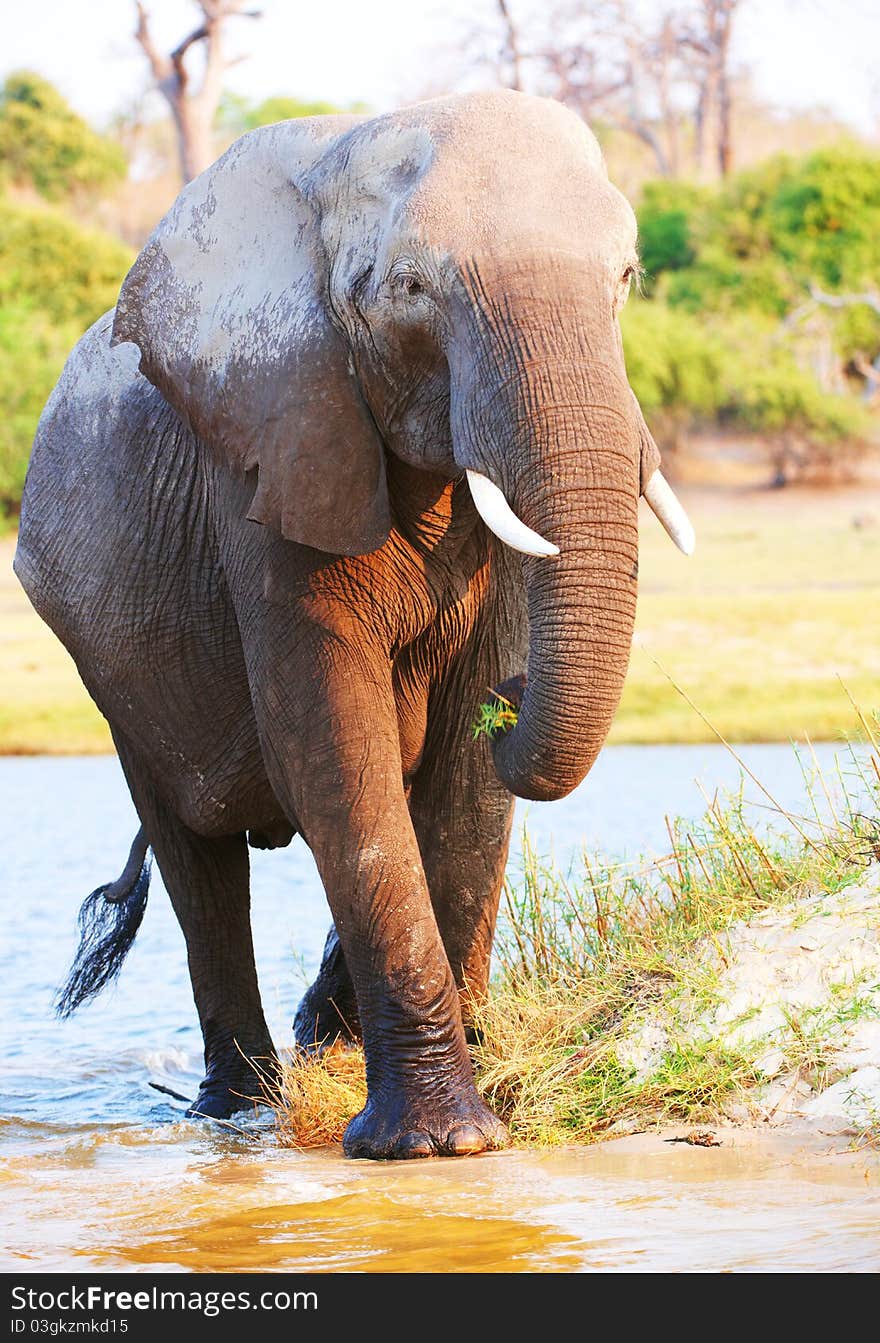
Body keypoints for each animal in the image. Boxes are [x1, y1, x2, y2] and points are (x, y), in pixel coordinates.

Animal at [10, 91, 693, 1165]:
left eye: (624, 277)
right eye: (411, 287)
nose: (517, 697)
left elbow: (459, 779)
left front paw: (472, 1110)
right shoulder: (269, 453)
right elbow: (333, 750)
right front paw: (434, 1143)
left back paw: (314, 1041)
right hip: (109, 669)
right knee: (197, 860)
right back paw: (238, 1106)